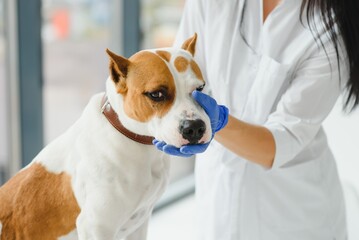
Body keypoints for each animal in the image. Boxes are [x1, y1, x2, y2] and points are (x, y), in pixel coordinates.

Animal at [0, 34, 212, 240]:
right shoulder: (95, 226)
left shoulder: (139, 224)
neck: (134, 140)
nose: (194, 128)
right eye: (156, 94)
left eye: (200, 89)